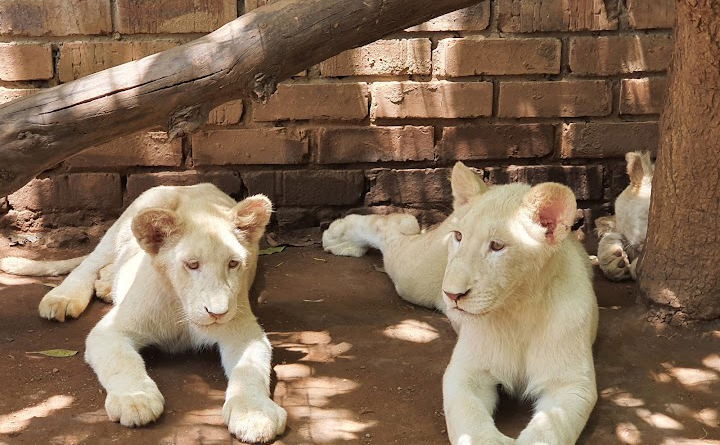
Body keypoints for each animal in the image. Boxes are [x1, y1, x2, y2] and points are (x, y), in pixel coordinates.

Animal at [0, 184, 286, 443]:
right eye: (192, 265)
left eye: (233, 263)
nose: (218, 313)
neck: (181, 310)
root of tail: (190, 185)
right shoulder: (111, 330)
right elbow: (122, 361)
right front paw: (135, 401)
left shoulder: (243, 331)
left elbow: (249, 369)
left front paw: (255, 415)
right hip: (125, 224)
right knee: (89, 263)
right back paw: (63, 297)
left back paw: (106, 285)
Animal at [322, 163, 598, 445]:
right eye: (458, 236)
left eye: (497, 246)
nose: (452, 294)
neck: (517, 311)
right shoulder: (466, 373)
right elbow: (472, 424)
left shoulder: (571, 384)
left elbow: (549, 430)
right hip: (413, 275)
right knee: (389, 231)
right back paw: (340, 235)